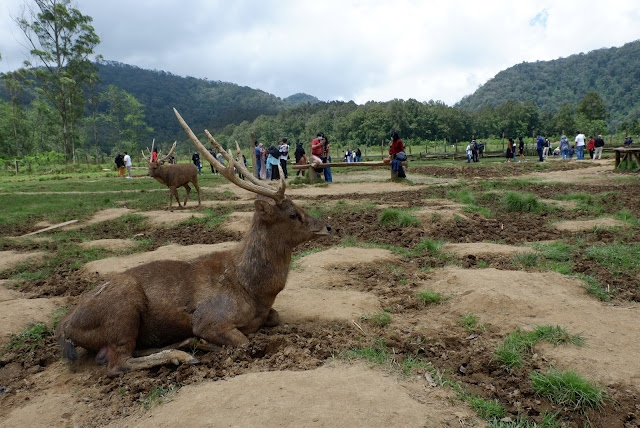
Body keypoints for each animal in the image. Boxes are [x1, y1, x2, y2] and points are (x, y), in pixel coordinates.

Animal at [55, 108, 332, 376]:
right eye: (293, 214)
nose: (327, 226)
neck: (254, 289)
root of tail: (65, 326)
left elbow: (275, 317)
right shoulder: (209, 318)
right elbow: (242, 341)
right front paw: (200, 342)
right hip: (123, 306)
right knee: (116, 363)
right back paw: (181, 354)